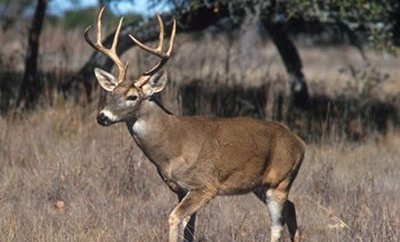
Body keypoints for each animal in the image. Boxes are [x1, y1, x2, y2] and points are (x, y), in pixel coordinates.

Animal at [83, 7, 304, 242]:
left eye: (132, 96)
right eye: (112, 93)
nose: (102, 116)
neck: (172, 147)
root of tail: (300, 144)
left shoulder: (205, 185)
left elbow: (174, 218)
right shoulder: (181, 189)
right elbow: (189, 229)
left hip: (280, 181)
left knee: (277, 224)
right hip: (260, 185)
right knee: (291, 208)